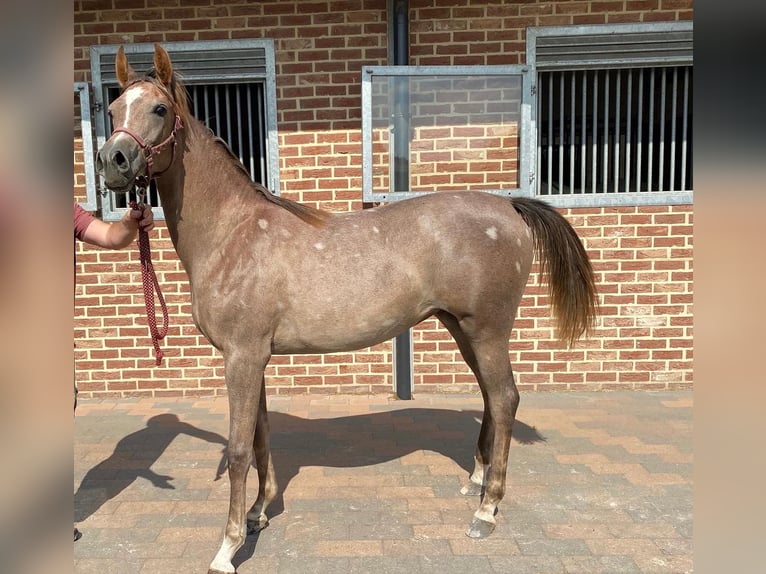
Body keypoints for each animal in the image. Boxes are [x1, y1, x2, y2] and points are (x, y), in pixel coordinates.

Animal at [96, 45, 600, 574]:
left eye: (159, 109)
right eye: (113, 110)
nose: (113, 161)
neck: (232, 233)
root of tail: (510, 208)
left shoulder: (242, 357)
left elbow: (237, 450)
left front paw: (227, 548)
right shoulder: (253, 359)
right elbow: (260, 435)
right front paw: (258, 513)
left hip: (487, 330)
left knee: (504, 399)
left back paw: (486, 510)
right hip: (463, 329)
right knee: (489, 397)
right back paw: (477, 483)